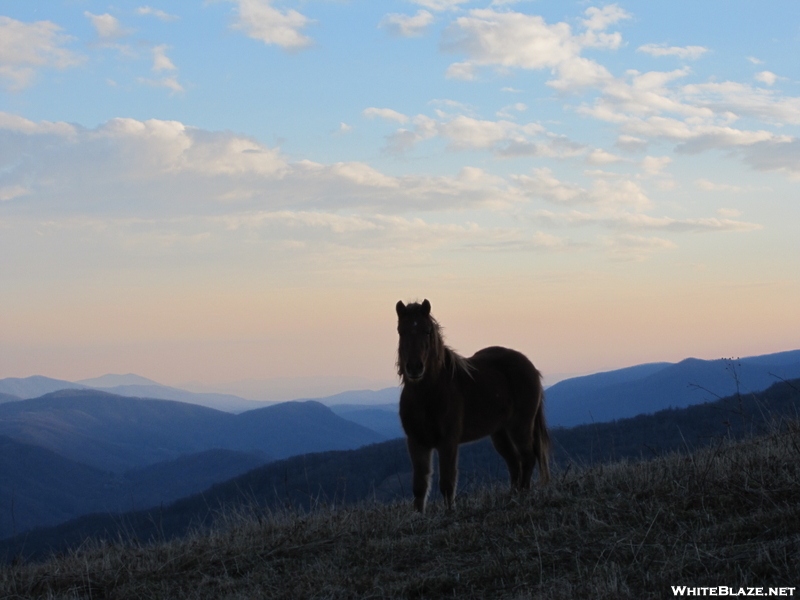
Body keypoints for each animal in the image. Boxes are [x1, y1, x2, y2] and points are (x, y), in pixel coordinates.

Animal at [396, 298, 548, 510]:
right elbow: (419, 487)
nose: (414, 368)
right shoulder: (417, 442)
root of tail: (530, 366)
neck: (427, 396)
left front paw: (449, 513)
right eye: (401, 331)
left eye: (427, 331)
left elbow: (447, 483)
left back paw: (523, 496)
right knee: (514, 463)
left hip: (521, 426)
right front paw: (419, 516)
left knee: (527, 458)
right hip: (500, 433)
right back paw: (512, 497)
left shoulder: (448, 442)